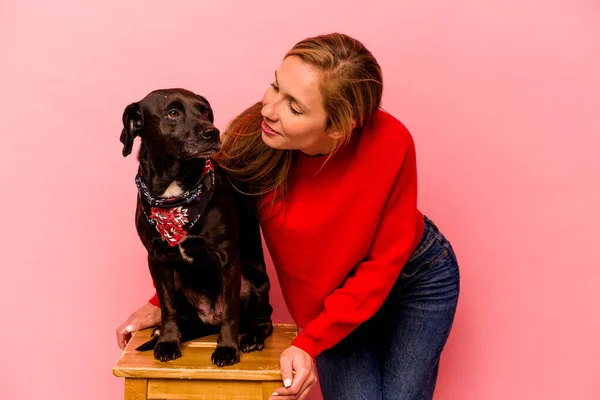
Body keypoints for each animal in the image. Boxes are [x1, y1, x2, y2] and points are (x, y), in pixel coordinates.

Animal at [120, 87, 274, 366]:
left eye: (204, 111)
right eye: (173, 112)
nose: (212, 132)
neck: (174, 197)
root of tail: (209, 321)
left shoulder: (227, 258)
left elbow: (231, 312)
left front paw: (227, 348)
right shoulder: (156, 260)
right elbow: (167, 308)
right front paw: (168, 341)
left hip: (254, 282)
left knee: (262, 320)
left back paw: (252, 338)